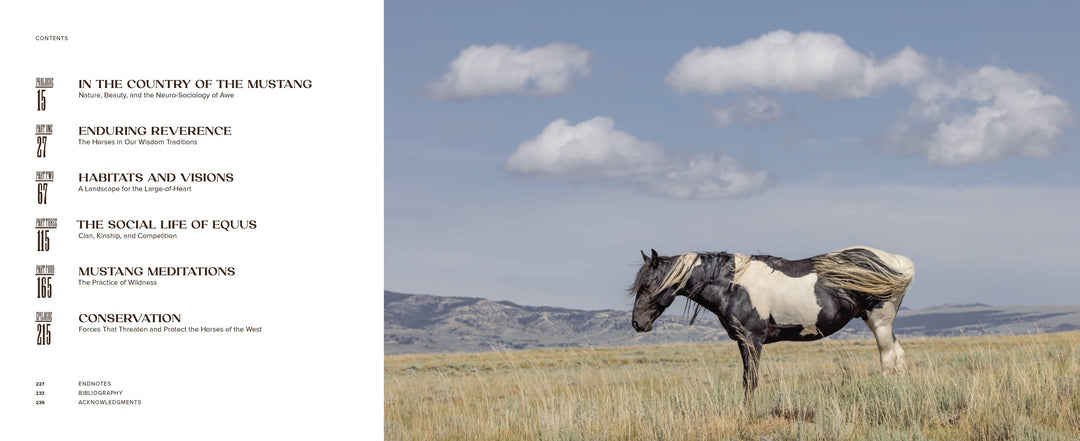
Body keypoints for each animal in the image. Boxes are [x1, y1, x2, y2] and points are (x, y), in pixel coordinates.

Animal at [629, 246, 914, 399]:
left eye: (648, 284)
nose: (637, 323)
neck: (733, 285)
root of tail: (896, 261)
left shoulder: (752, 339)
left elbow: (750, 379)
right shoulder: (744, 341)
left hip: (879, 321)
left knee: (888, 360)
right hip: (876, 322)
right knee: (899, 357)